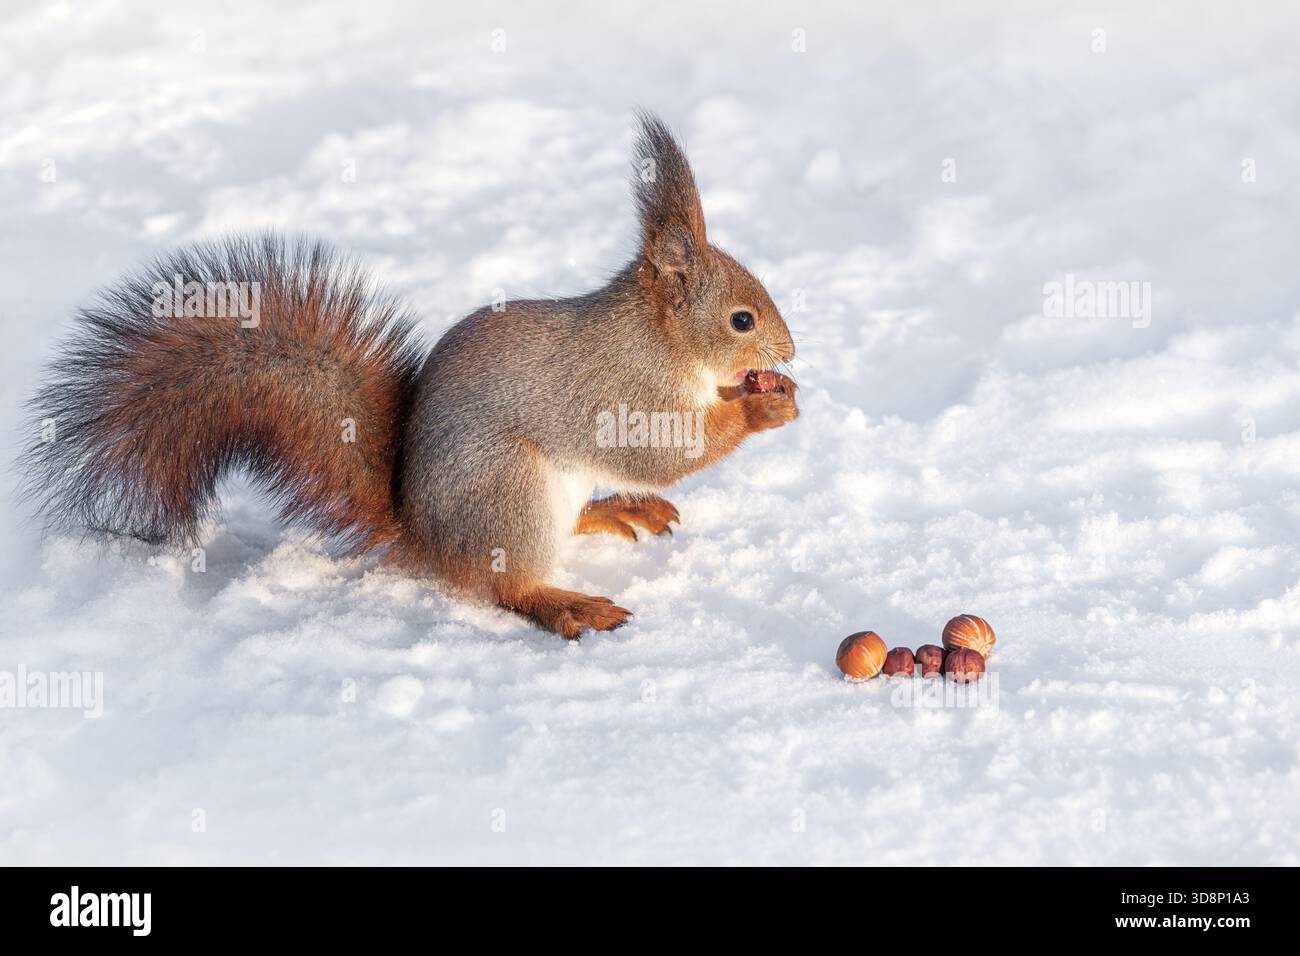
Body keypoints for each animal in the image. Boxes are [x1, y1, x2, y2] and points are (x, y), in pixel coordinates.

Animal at [19, 112, 798, 638]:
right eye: (741, 320)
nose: (789, 352)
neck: (659, 341)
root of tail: (428, 543)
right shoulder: (622, 393)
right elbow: (665, 451)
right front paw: (761, 409)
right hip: (509, 495)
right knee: (507, 586)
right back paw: (566, 603)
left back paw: (616, 510)